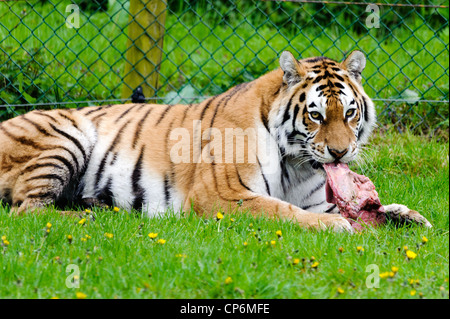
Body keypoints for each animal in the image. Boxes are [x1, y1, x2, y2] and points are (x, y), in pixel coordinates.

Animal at [0, 50, 430, 231]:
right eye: (316, 115)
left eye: (350, 113)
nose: (341, 152)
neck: (297, 164)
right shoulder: (222, 195)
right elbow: (281, 210)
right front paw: (338, 226)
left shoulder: (315, 198)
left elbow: (376, 209)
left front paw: (406, 215)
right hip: (67, 135)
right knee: (27, 209)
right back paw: (91, 217)